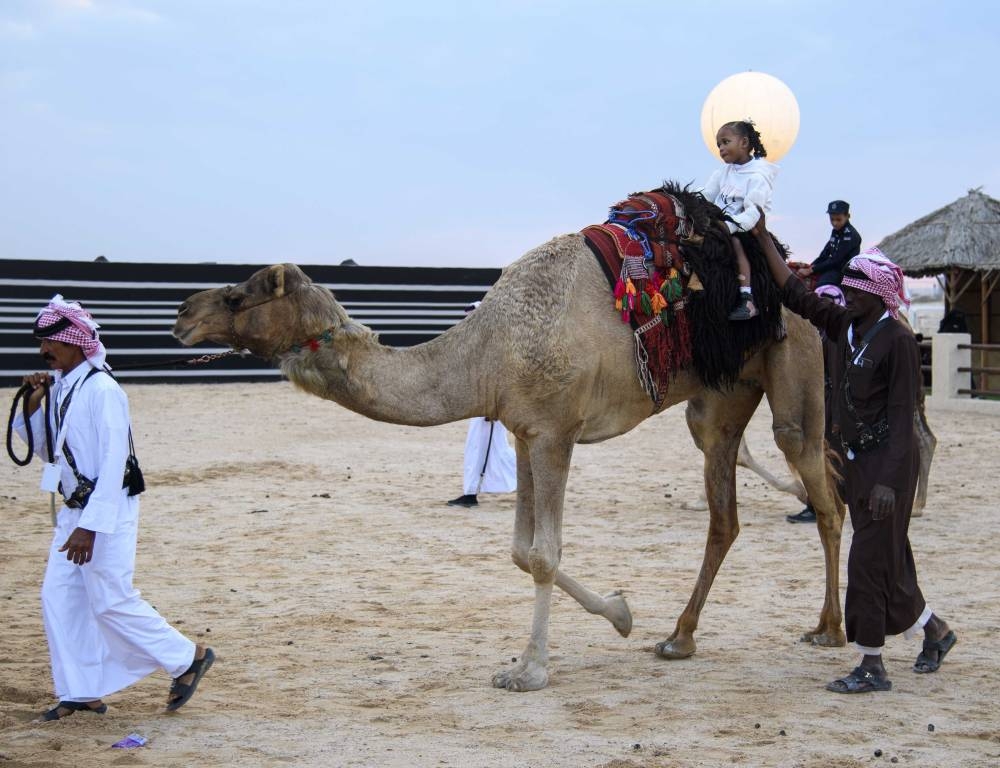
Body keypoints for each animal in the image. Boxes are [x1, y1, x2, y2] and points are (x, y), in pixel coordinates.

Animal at [173, 211, 846, 692]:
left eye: (238, 297)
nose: (180, 314)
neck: (487, 353)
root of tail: (802, 286)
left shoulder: (555, 430)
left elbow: (543, 555)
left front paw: (530, 670)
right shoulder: (524, 430)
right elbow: (521, 552)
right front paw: (621, 613)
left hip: (794, 366)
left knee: (823, 490)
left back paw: (830, 631)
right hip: (720, 397)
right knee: (726, 511)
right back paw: (680, 638)